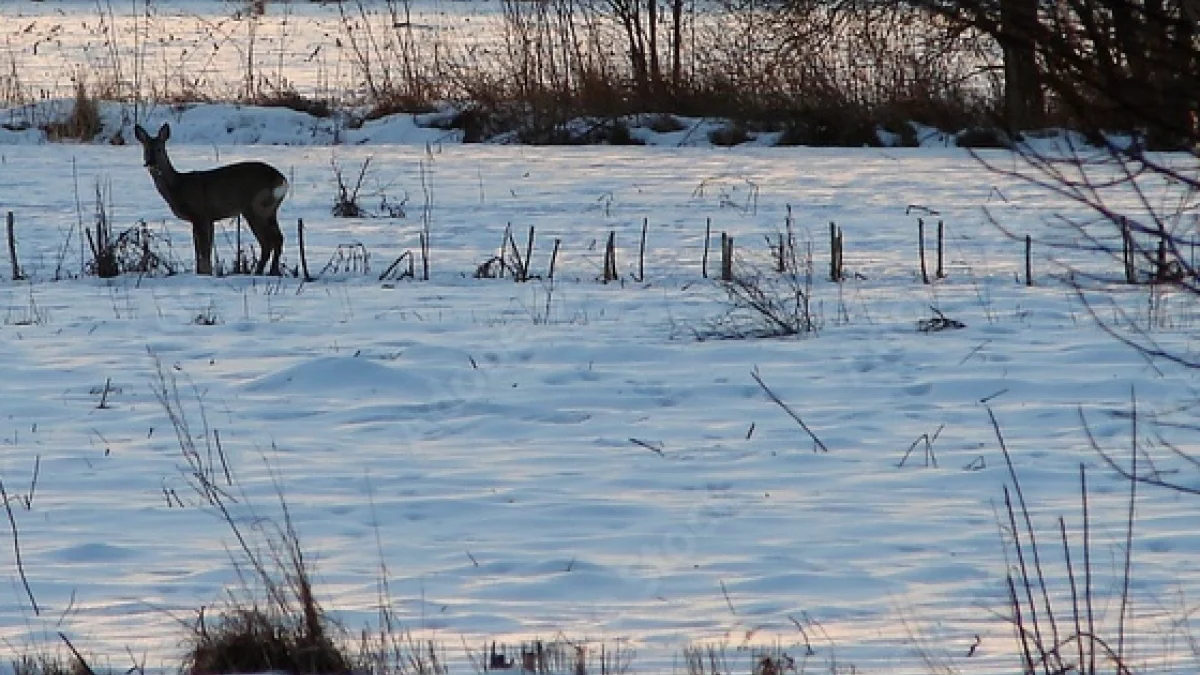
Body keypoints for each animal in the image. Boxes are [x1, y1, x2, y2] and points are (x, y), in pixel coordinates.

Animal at [134, 123, 290, 273]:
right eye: (146, 149)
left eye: (159, 149)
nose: (151, 163)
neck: (178, 186)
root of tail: (281, 179)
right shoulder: (205, 219)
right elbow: (200, 251)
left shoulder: (200, 215)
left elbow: (204, 252)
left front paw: (206, 273)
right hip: (269, 210)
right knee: (277, 239)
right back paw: (271, 271)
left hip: (256, 208)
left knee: (269, 241)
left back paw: (266, 272)